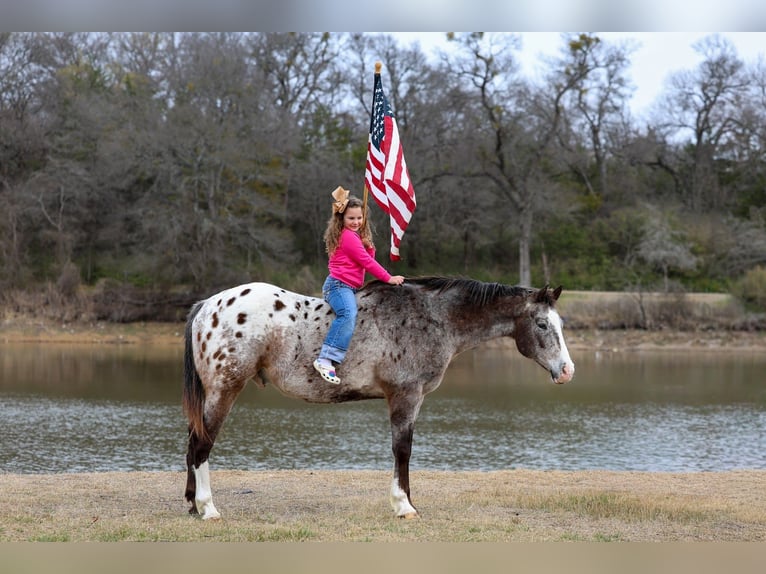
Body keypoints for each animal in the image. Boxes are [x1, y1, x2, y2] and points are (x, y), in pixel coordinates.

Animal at [182, 276, 575, 520]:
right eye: (542, 325)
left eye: (560, 325)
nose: (567, 370)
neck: (432, 317)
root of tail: (207, 305)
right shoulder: (405, 396)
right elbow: (402, 450)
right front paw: (403, 505)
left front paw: (408, 500)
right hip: (224, 390)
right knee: (202, 446)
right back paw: (208, 508)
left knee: (192, 444)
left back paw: (191, 504)